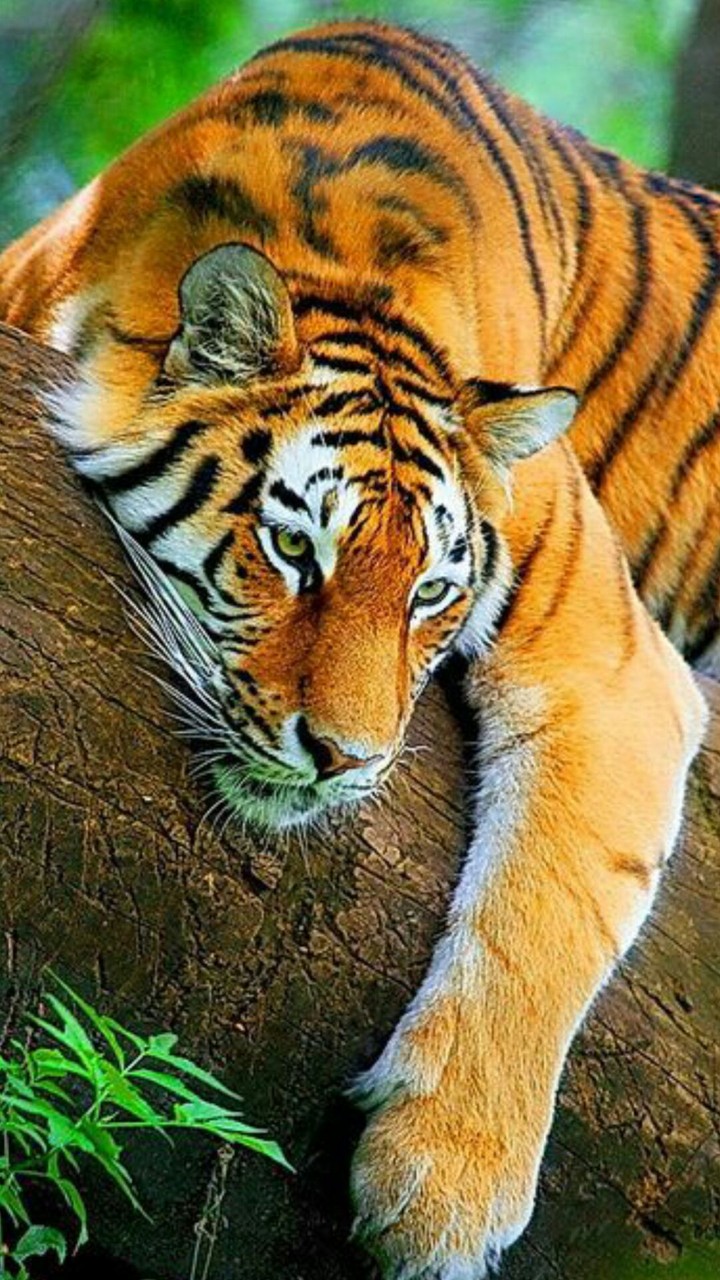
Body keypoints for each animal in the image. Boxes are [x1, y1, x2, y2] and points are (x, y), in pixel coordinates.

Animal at [0, 17, 713, 1279]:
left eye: (430, 591)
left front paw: (443, 1189)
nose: (346, 758)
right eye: (294, 548)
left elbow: (546, 912)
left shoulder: (616, 664)